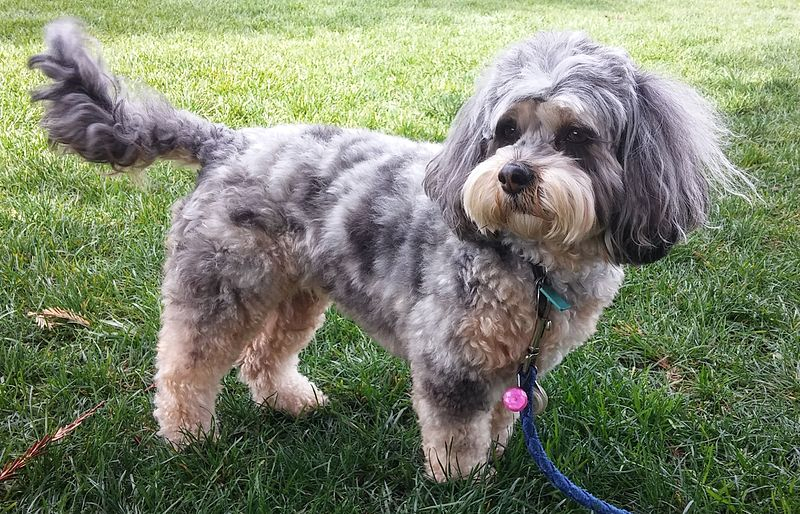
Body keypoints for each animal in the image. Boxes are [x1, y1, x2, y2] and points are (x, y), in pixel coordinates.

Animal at [26, 17, 752, 480]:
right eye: (505, 131)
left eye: (577, 136)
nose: (514, 176)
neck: (528, 261)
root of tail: (228, 141)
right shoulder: (451, 356)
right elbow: (457, 432)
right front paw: (464, 482)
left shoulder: (515, 365)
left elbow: (500, 420)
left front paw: (496, 456)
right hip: (221, 287)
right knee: (186, 368)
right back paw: (187, 439)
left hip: (298, 291)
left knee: (263, 358)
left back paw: (290, 401)